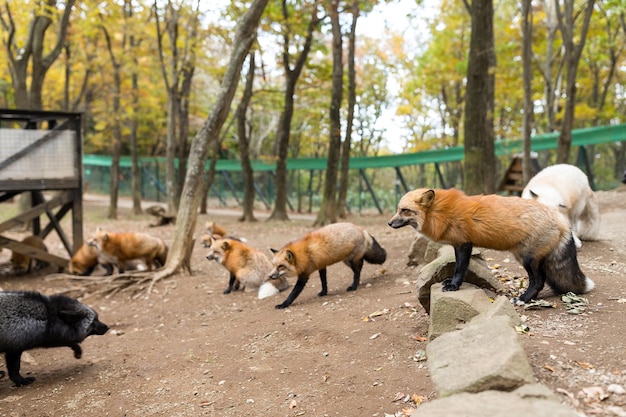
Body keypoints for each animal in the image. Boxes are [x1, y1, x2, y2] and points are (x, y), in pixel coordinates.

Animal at [388, 188, 592, 302]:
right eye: (397, 210)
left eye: (405, 211)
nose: (389, 223)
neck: (440, 212)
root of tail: (562, 221)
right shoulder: (457, 244)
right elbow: (456, 266)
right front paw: (450, 281)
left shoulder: (464, 243)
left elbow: (460, 268)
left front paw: (454, 286)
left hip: (527, 259)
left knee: (539, 281)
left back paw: (524, 299)